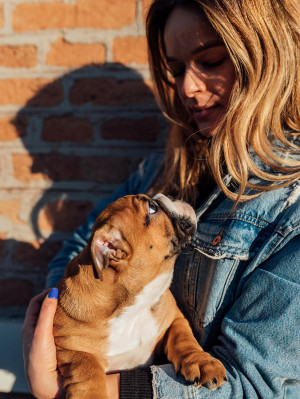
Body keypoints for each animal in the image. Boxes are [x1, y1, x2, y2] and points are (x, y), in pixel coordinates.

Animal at [54, 195, 227, 399]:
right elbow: (88, 371)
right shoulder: (72, 348)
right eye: (152, 208)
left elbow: (184, 339)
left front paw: (202, 362)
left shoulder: (174, 318)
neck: (133, 306)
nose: (162, 196)